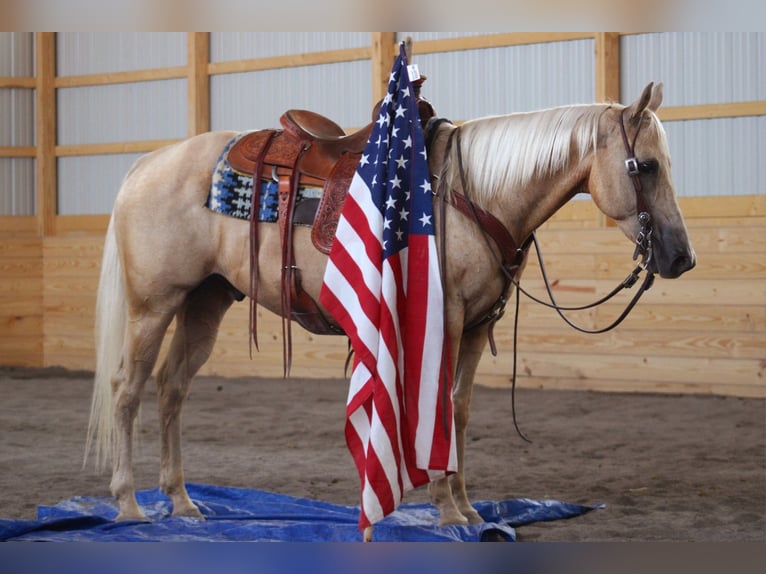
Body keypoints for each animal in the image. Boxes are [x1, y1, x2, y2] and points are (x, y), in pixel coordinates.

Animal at [87, 82, 700, 532]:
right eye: (646, 166)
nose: (682, 257)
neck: (470, 193)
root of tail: (146, 165)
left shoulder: (475, 327)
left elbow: (459, 410)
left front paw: (468, 509)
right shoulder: (443, 320)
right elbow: (435, 408)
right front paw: (447, 510)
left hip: (204, 302)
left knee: (171, 388)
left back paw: (182, 503)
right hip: (153, 304)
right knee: (127, 388)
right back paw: (130, 505)